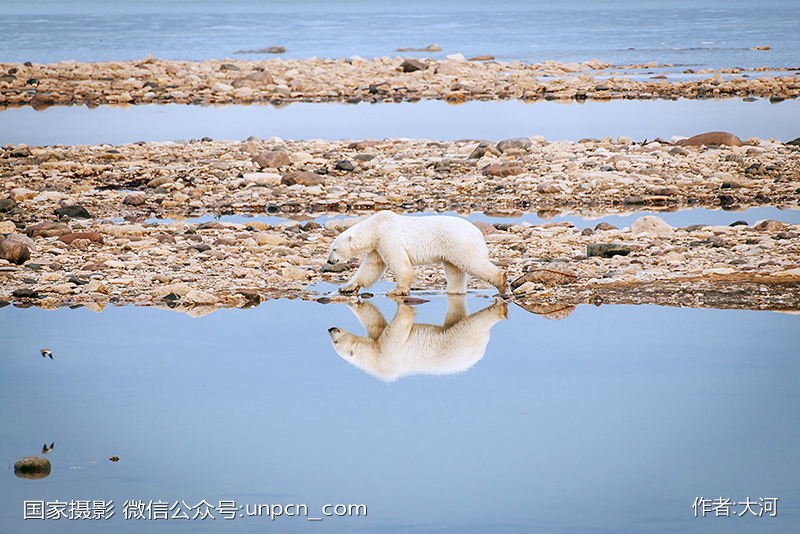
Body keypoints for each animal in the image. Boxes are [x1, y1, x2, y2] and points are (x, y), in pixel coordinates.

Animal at [324, 211, 506, 298]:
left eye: (334, 249)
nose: (330, 261)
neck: (375, 227)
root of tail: (478, 232)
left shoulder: (388, 237)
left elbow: (399, 264)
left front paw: (397, 291)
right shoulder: (377, 246)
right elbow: (370, 268)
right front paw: (347, 287)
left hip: (460, 242)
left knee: (472, 262)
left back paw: (501, 280)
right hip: (451, 248)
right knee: (454, 270)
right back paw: (448, 292)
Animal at [330, 298, 506, 382]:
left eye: (335, 343)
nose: (330, 329)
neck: (376, 359)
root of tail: (481, 351)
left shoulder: (388, 353)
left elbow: (397, 329)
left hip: (464, 338)